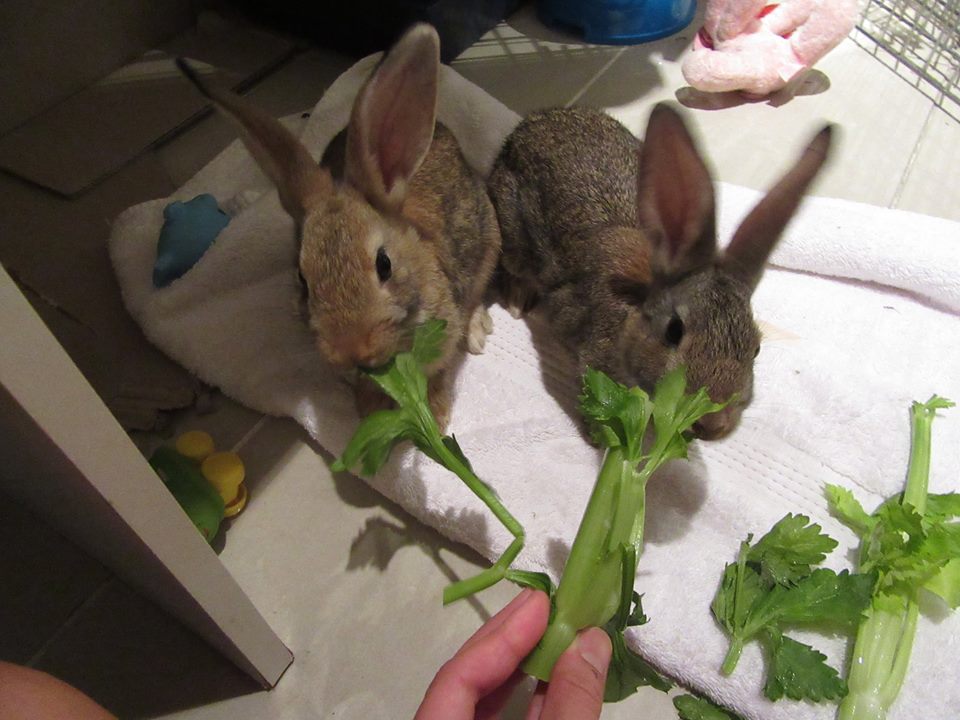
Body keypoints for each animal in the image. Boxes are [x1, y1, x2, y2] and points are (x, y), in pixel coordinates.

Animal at [177, 23, 501, 429]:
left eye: (384, 265)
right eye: (302, 280)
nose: (352, 351)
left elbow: (440, 374)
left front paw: (436, 417)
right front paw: (371, 412)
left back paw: (477, 332)